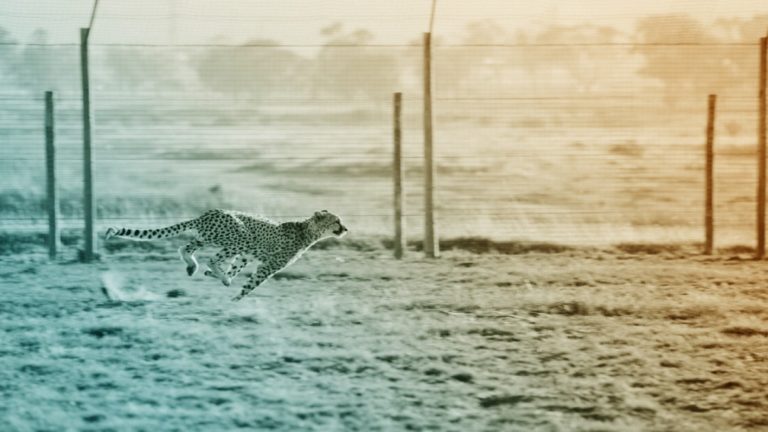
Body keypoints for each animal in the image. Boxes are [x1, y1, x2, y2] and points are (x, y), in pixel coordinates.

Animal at [104, 209, 348, 300]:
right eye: (336, 221)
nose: (345, 229)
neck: (307, 231)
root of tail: (207, 213)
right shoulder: (268, 265)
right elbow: (251, 284)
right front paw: (234, 299)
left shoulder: (247, 256)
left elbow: (236, 269)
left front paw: (224, 279)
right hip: (239, 236)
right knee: (211, 258)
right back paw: (211, 271)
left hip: (213, 238)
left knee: (187, 248)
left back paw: (194, 267)